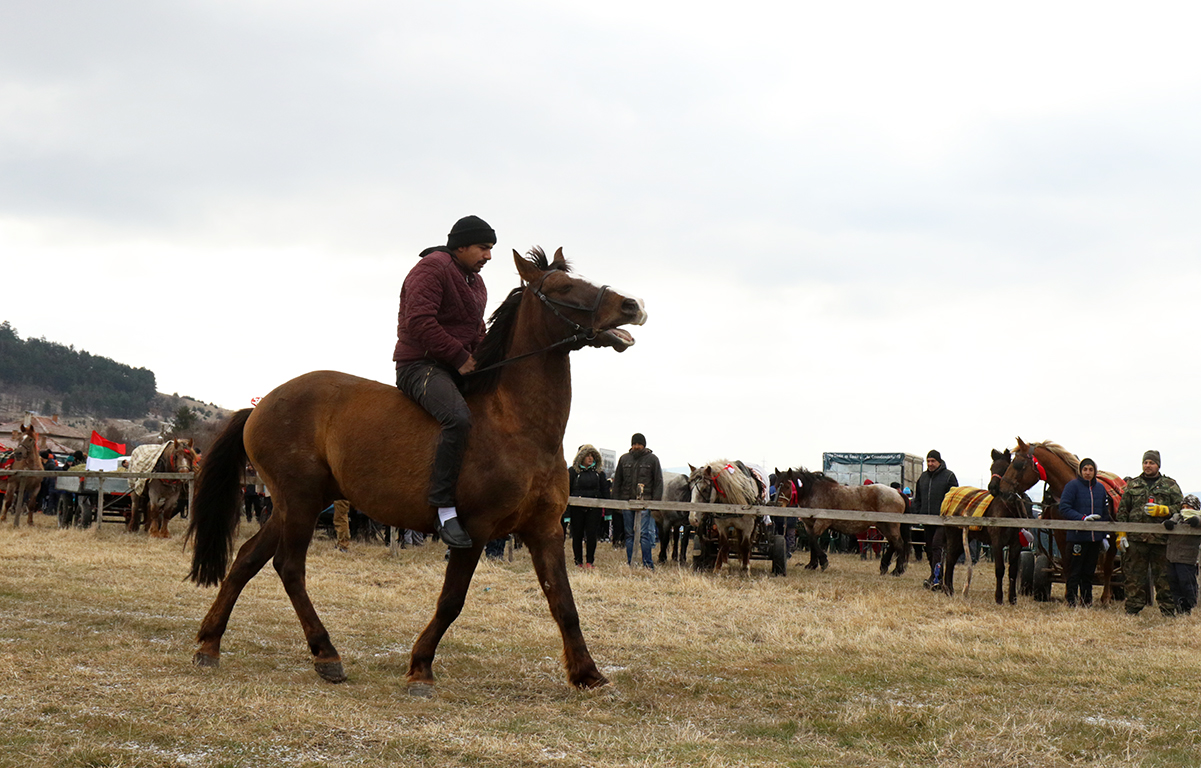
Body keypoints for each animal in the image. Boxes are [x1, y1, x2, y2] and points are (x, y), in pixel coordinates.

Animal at [184, 249, 648, 692]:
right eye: (564, 287)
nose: (632, 305)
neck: (517, 424)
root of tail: (261, 406)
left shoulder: (546, 530)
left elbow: (563, 603)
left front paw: (588, 674)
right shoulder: (474, 530)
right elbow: (452, 601)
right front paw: (421, 668)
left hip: (293, 504)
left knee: (247, 559)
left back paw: (210, 644)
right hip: (299, 501)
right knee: (289, 568)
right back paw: (326, 655)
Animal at [773, 466, 903, 574]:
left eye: (788, 486)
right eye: (776, 486)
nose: (778, 505)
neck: (813, 492)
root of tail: (897, 493)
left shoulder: (822, 522)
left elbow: (814, 540)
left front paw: (823, 562)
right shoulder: (809, 525)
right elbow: (811, 541)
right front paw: (812, 564)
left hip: (890, 525)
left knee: (898, 543)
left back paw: (897, 570)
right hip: (883, 526)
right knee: (893, 543)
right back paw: (884, 567)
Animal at [941, 447, 1028, 603]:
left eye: (1006, 468)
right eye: (991, 468)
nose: (992, 487)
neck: (1009, 510)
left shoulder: (1016, 543)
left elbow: (1012, 570)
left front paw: (1012, 598)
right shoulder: (997, 542)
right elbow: (999, 569)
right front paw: (999, 597)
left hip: (965, 538)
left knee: (952, 558)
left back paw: (948, 589)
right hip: (953, 535)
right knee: (950, 559)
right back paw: (948, 589)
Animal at [989, 435, 1119, 603]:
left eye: (1018, 465)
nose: (1002, 491)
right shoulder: (1060, 533)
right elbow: (1068, 565)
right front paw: (1069, 595)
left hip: (1113, 536)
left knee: (1109, 566)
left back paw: (1105, 597)